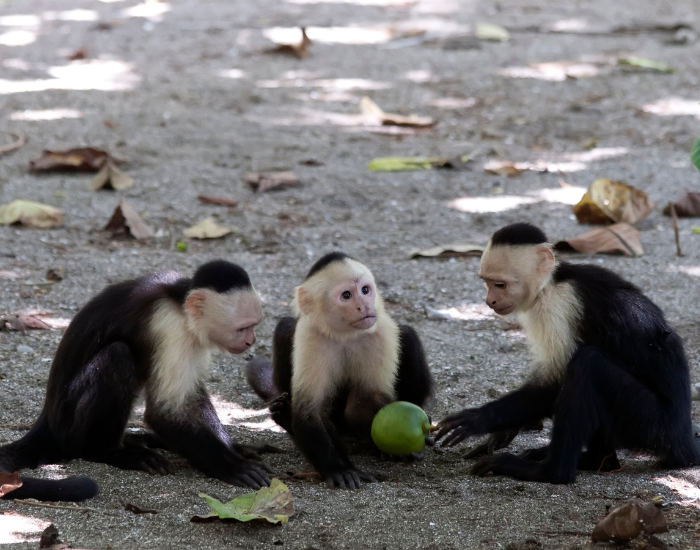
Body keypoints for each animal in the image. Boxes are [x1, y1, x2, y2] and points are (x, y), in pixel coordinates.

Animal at [0, 260, 273, 493]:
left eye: (254, 326)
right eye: (243, 328)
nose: (251, 341)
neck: (179, 303)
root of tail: (47, 422)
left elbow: (191, 398)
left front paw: (235, 449)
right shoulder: (170, 326)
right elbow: (165, 412)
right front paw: (233, 466)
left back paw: (138, 441)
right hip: (68, 426)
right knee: (118, 355)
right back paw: (111, 453)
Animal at [245, 252, 433, 489]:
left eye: (365, 290)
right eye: (346, 295)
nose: (364, 306)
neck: (345, 334)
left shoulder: (379, 335)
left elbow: (364, 404)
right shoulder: (311, 335)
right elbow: (311, 410)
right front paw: (340, 469)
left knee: (408, 335)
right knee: (285, 327)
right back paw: (285, 417)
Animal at [436, 222, 700, 483]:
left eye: (500, 284)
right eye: (487, 282)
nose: (489, 300)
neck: (551, 282)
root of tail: (684, 441)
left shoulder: (557, 306)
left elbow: (553, 384)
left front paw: (478, 419)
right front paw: (504, 431)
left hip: (653, 424)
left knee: (589, 363)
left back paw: (550, 471)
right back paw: (595, 461)